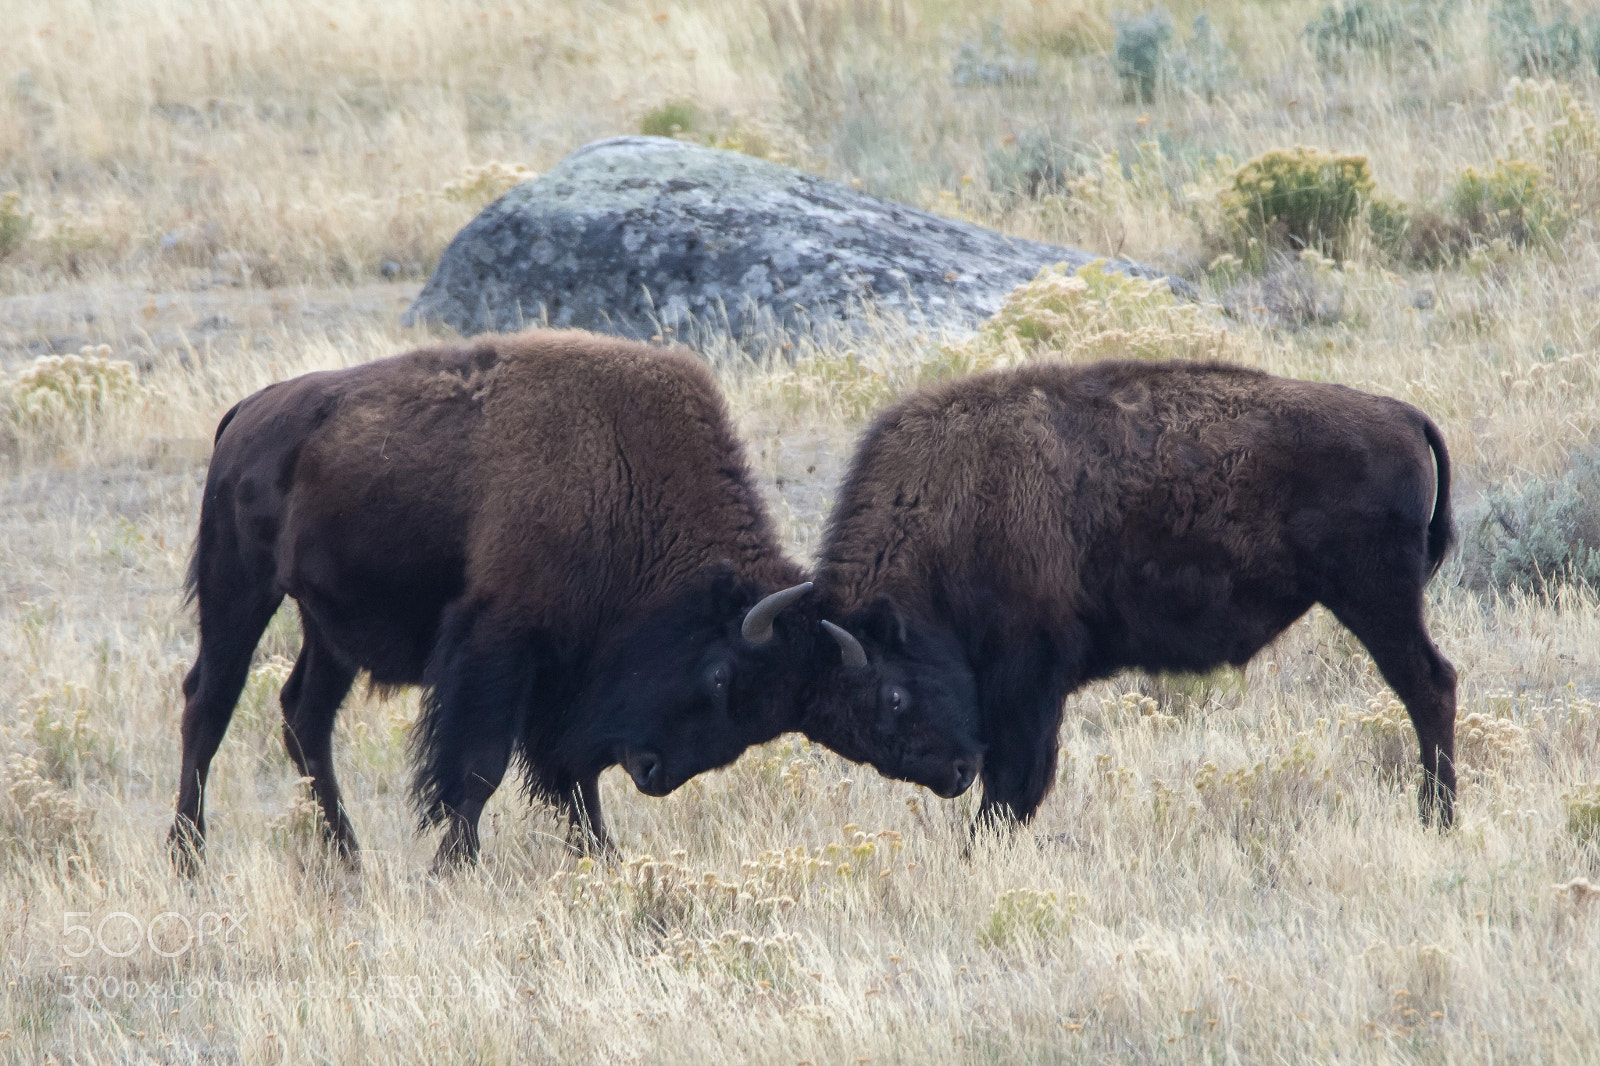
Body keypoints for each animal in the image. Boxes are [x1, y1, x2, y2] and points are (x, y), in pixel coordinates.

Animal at [814, 360, 1459, 829]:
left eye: (893, 696)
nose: (953, 774)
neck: (949, 507)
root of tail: (1402, 415)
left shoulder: (1029, 675)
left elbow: (1017, 780)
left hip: (1377, 601)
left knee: (1430, 685)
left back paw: (1438, 819)